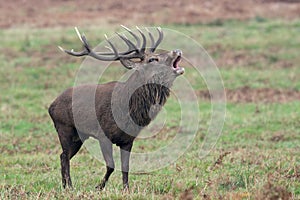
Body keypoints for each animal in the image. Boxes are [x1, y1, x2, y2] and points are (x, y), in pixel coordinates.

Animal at [48, 25, 184, 191]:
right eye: (153, 59)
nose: (177, 50)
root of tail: (51, 106)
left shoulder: (128, 140)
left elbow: (126, 167)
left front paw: (126, 189)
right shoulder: (102, 135)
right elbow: (111, 165)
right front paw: (99, 187)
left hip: (79, 136)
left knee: (63, 156)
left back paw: (65, 186)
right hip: (64, 128)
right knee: (65, 156)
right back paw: (69, 186)